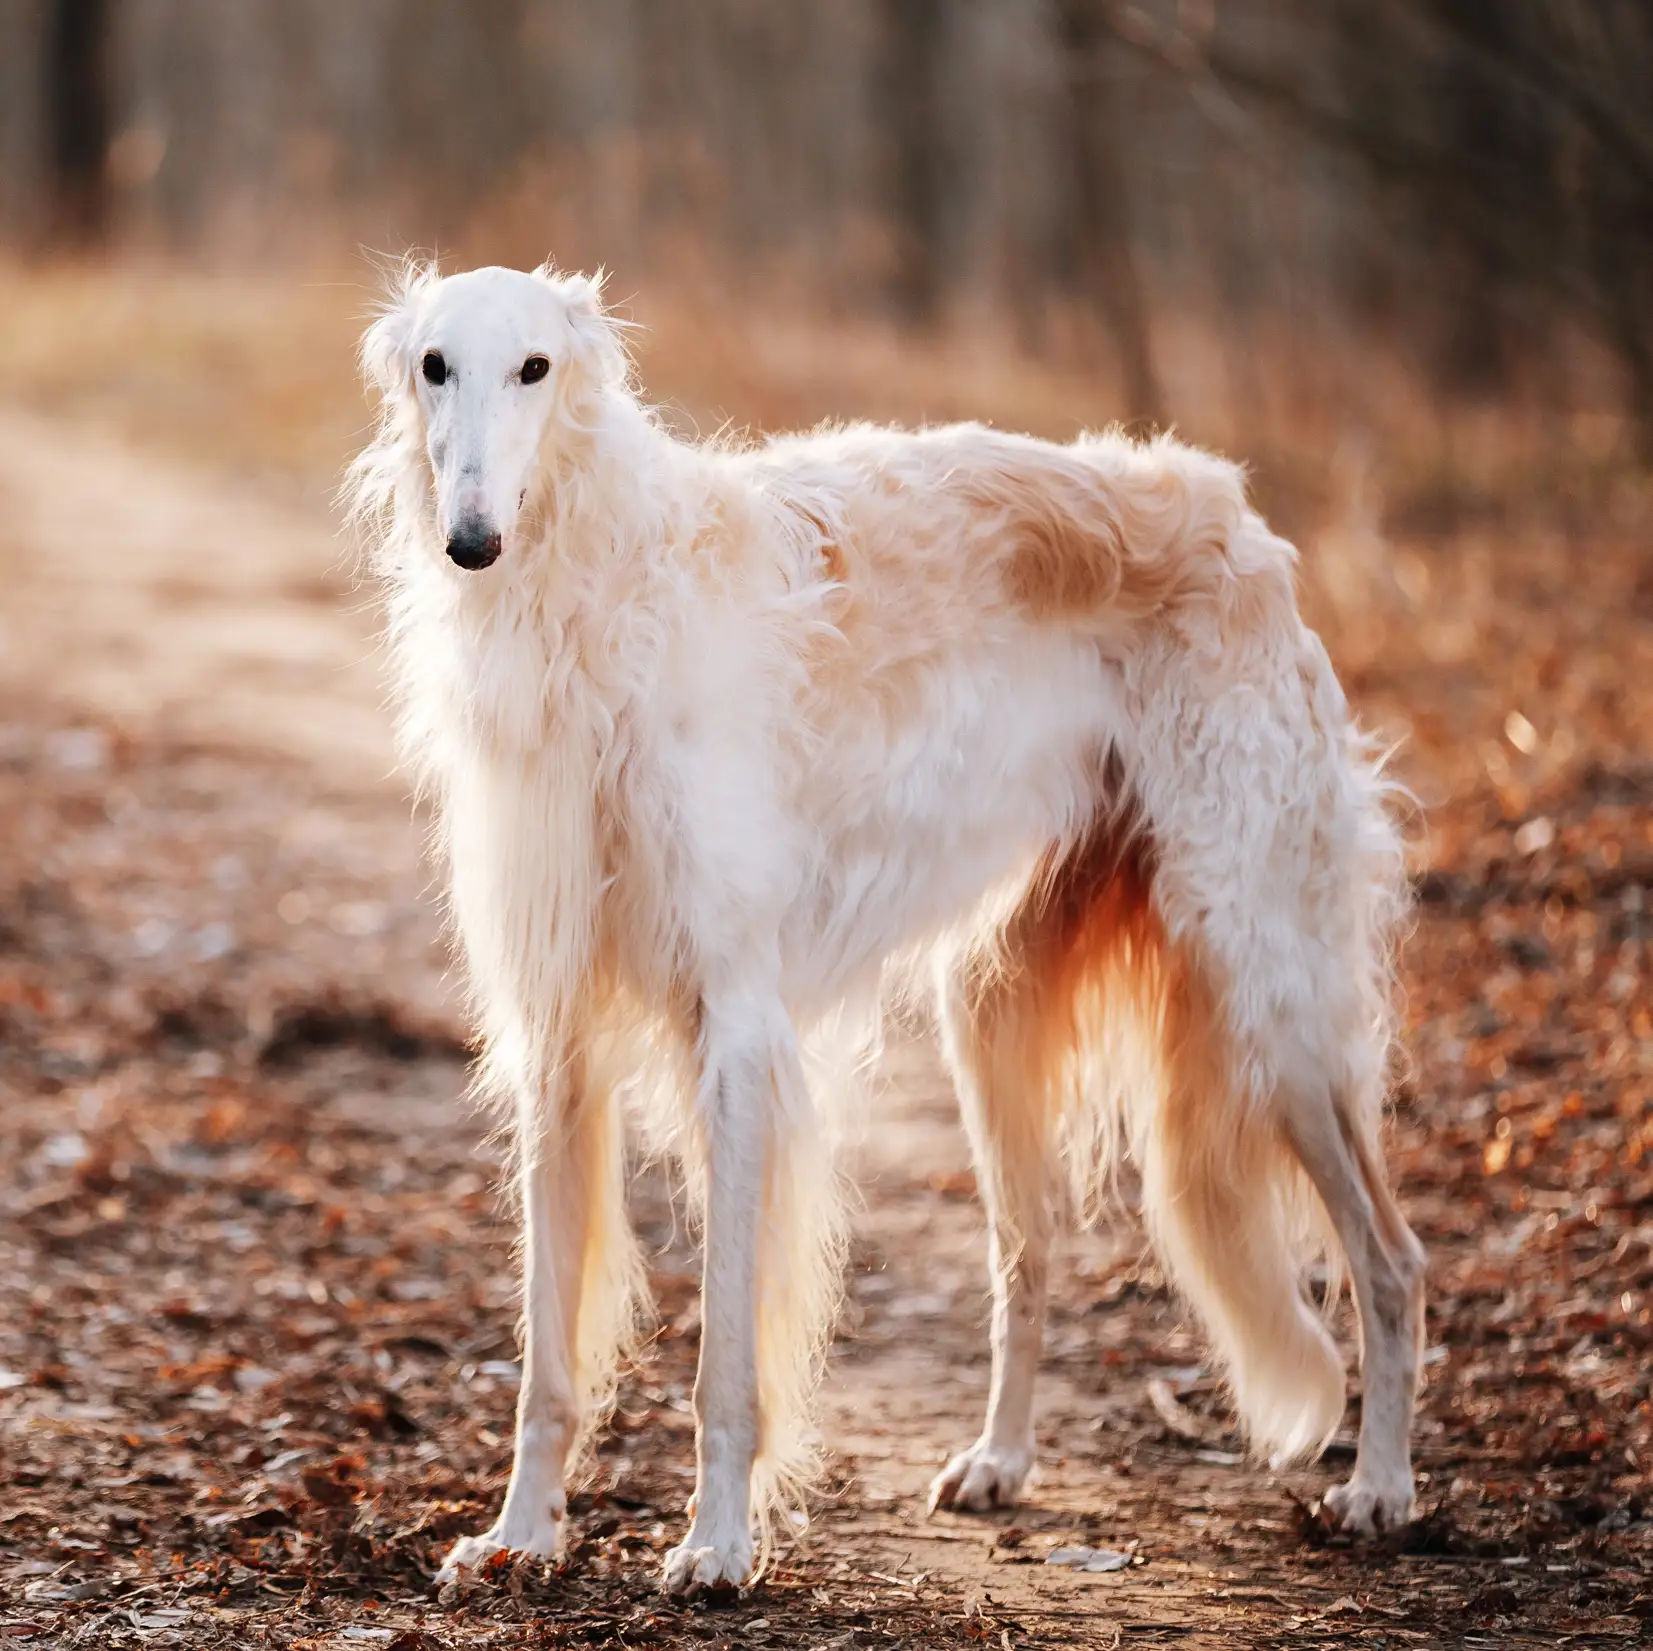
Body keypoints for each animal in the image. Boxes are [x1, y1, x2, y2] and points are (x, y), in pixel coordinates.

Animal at [345, 264, 1421, 1593]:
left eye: (536, 367)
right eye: (434, 364)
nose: (472, 541)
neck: (599, 600)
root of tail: (1244, 523)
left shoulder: (736, 1027)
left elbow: (725, 1358)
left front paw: (716, 1544)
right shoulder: (557, 1035)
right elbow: (548, 1354)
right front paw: (520, 1534)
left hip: (1269, 991)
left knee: (1392, 1257)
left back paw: (1383, 1486)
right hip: (996, 1011)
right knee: (1029, 1252)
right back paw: (1000, 1460)